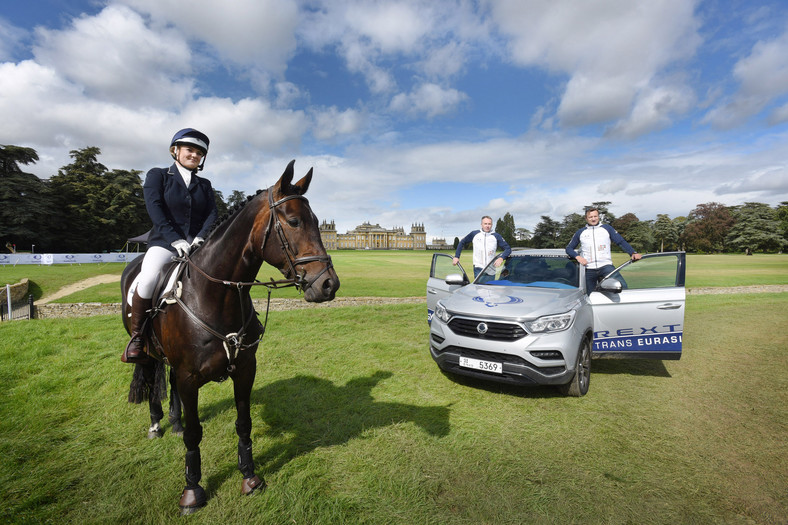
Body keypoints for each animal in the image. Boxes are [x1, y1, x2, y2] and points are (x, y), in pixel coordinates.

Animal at [119, 160, 338, 512]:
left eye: (320, 223)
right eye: (293, 221)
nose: (329, 285)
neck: (216, 295)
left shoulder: (244, 369)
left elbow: (243, 423)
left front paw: (250, 476)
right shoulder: (189, 376)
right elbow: (195, 434)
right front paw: (192, 490)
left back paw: (175, 422)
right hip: (148, 350)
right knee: (151, 378)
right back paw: (156, 424)